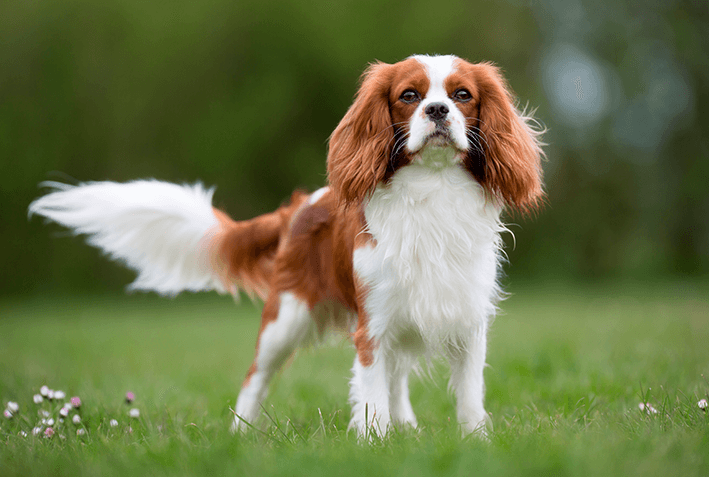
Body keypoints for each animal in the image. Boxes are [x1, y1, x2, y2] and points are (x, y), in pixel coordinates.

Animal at [29, 54, 544, 436]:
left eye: (462, 95)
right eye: (409, 96)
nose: (438, 111)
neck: (433, 191)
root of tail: (296, 209)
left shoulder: (466, 319)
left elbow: (468, 396)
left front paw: (474, 442)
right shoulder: (372, 326)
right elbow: (371, 393)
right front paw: (376, 444)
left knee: (397, 378)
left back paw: (408, 429)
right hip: (286, 319)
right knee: (255, 377)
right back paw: (239, 434)